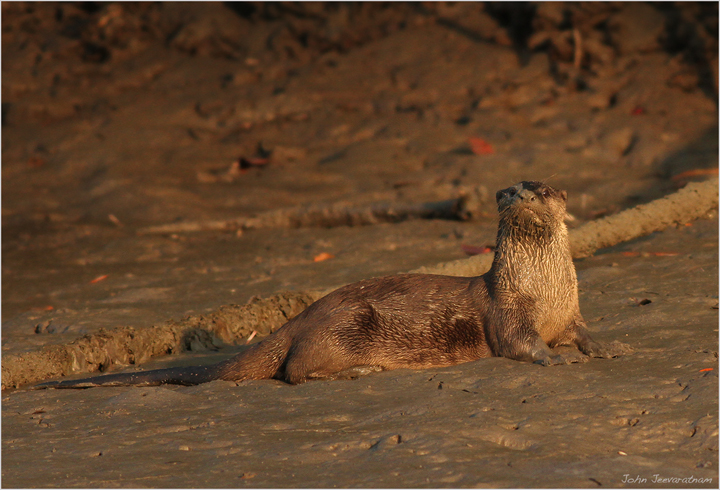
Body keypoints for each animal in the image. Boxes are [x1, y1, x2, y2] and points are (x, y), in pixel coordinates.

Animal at [35, 181, 626, 389]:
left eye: (541, 190)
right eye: (506, 191)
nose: (517, 195)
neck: (546, 294)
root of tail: (301, 316)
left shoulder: (571, 312)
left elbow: (586, 331)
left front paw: (609, 348)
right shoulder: (508, 314)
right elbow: (520, 344)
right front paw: (556, 358)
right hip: (343, 329)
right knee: (296, 371)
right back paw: (360, 371)